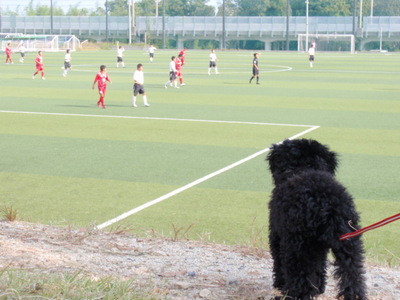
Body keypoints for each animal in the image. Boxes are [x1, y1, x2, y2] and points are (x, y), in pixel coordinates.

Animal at [268, 139, 368, 298]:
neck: (303, 169)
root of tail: (325, 204)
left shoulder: (276, 234)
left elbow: (279, 263)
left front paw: (279, 284)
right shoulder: (320, 247)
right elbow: (320, 268)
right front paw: (319, 289)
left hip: (297, 246)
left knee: (299, 279)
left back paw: (291, 294)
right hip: (349, 243)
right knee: (354, 277)